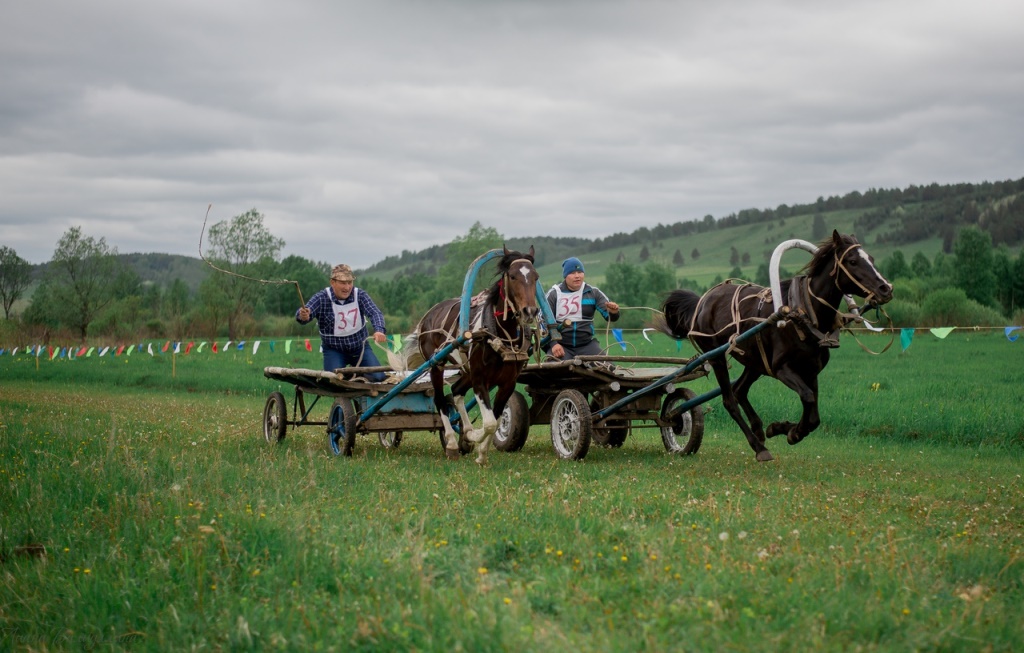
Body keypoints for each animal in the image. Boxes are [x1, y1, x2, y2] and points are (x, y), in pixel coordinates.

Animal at [415, 245, 544, 466]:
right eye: (512, 276)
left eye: (535, 276)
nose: (530, 311)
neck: (500, 334)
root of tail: (430, 315)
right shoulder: (480, 379)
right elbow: (490, 422)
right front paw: (475, 437)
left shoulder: (508, 383)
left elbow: (497, 420)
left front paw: (480, 452)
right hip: (437, 365)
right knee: (440, 400)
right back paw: (452, 443)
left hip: (466, 370)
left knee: (456, 390)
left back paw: (464, 433)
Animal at [659, 233, 892, 462]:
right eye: (852, 261)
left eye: (871, 259)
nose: (886, 289)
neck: (803, 313)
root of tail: (702, 301)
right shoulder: (782, 369)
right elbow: (808, 398)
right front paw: (792, 432)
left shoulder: (810, 371)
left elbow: (813, 415)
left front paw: (781, 428)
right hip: (717, 358)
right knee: (729, 400)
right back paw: (758, 446)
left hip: (755, 362)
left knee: (740, 390)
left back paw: (759, 431)